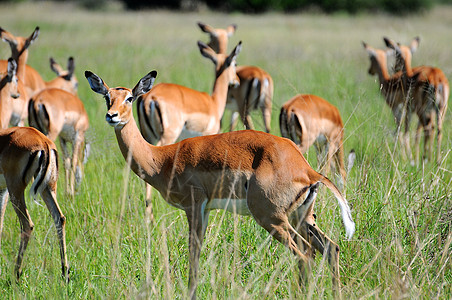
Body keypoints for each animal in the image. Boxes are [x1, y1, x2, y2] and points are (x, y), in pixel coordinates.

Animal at [0, 125, 69, 280]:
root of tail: (43, 141)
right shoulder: (2, 191)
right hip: (48, 187)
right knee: (59, 218)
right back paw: (65, 273)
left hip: (16, 189)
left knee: (27, 224)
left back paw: (16, 274)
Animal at [84, 69, 354, 298]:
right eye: (107, 96)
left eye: (130, 98)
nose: (112, 116)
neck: (162, 159)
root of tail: (306, 169)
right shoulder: (205, 210)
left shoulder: (194, 207)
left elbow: (193, 255)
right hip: (302, 218)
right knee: (331, 249)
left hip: (273, 219)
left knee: (305, 256)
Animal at [138, 39, 242, 203]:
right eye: (235, 63)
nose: (237, 81)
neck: (213, 102)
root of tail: (150, 97)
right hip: (167, 136)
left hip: (147, 136)